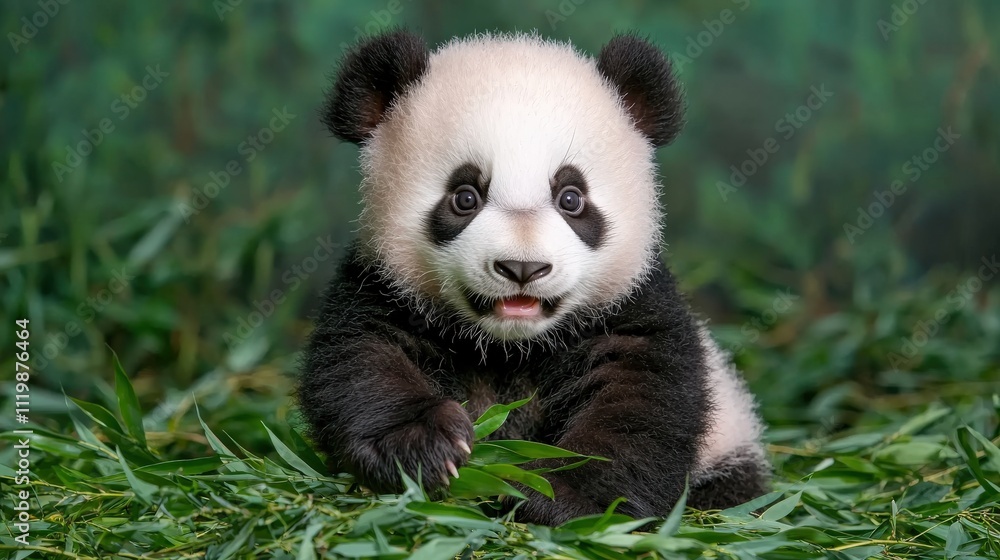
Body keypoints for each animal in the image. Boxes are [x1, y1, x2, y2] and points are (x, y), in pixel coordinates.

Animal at [299, 29, 770, 526]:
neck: (510, 346)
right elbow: (363, 361)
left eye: (571, 197)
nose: (522, 268)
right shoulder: (381, 286)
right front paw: (422, 446)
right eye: (464, 196)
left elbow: (641, 399)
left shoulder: (632, 303)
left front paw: (559, 496)